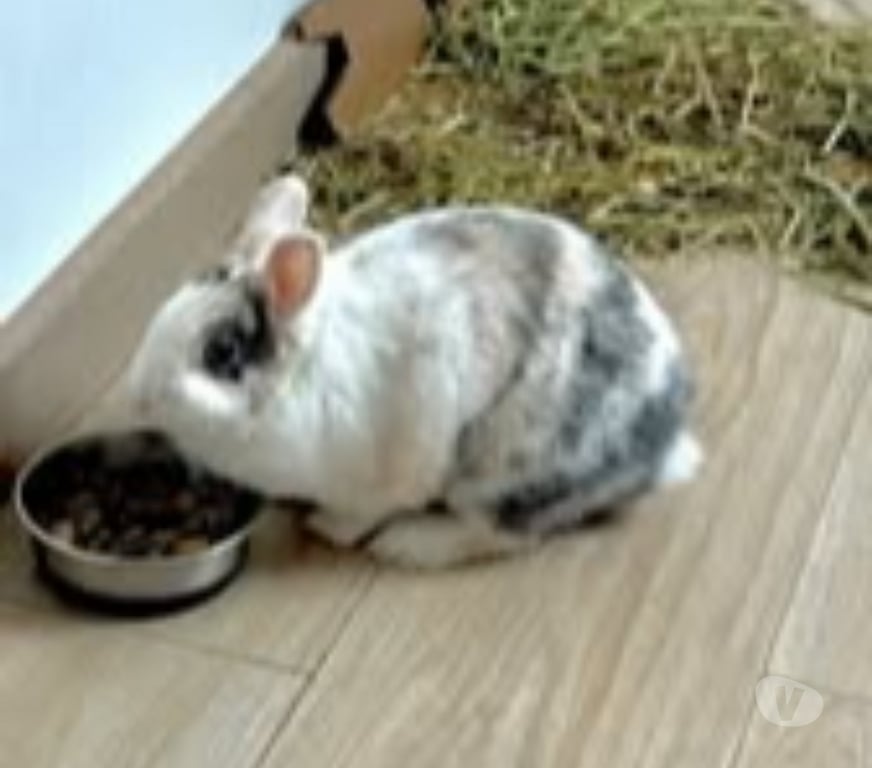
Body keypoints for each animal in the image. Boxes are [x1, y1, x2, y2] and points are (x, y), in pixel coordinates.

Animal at [126, 173, 702, 568]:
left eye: (221, 352)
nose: (139, 396)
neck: (299, 378)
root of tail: (661, 452)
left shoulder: (378, 477)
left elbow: (360, 513)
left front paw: (325, 528)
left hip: (504, 472)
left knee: (499, 534)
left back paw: (408, 546)